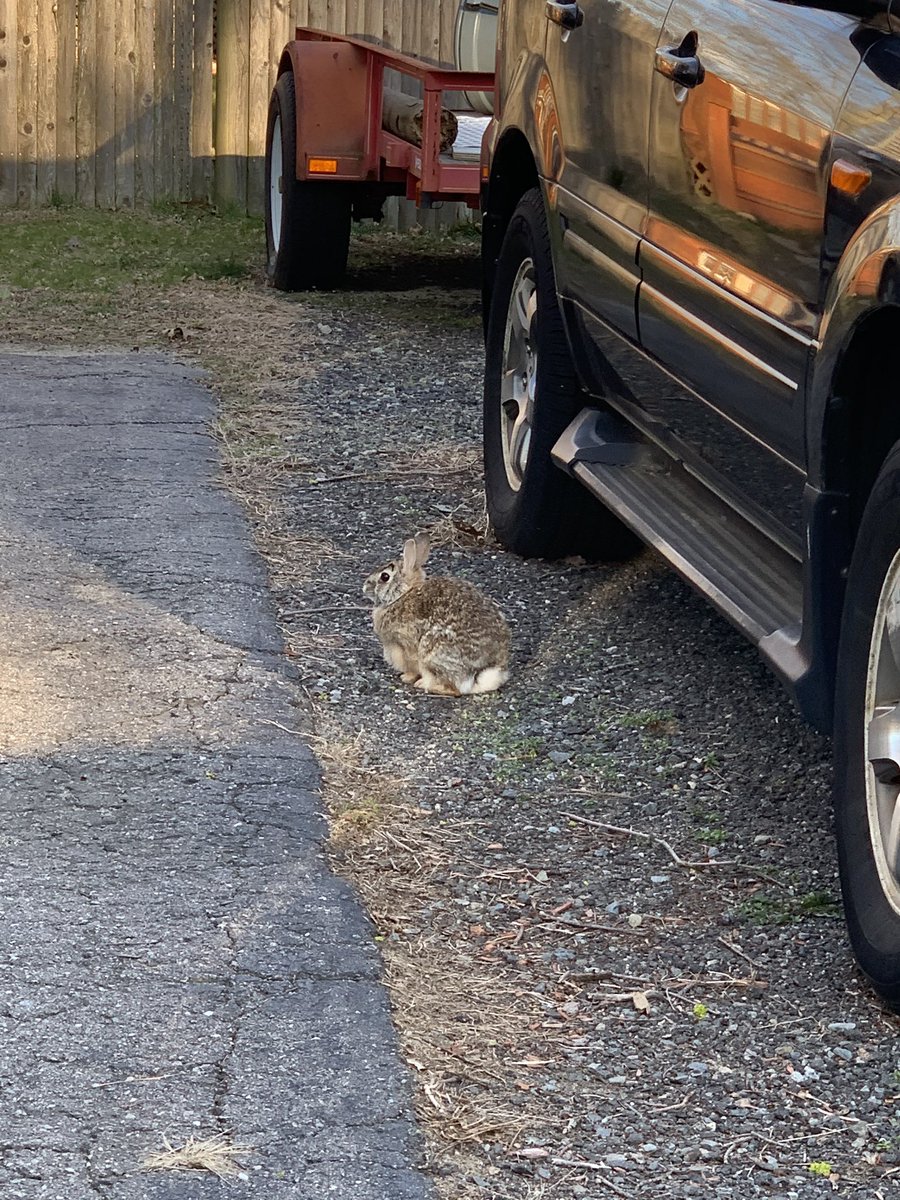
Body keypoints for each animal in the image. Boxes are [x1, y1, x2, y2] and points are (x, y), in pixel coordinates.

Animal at [363, 533, 510, 696]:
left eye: (384, 577)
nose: (365, 587)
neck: (403, 594)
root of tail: (480, 674)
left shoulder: (404, 645)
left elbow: (411, 666)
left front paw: (406, 678)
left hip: (432, 653)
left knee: (454, 689)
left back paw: (425, 685)